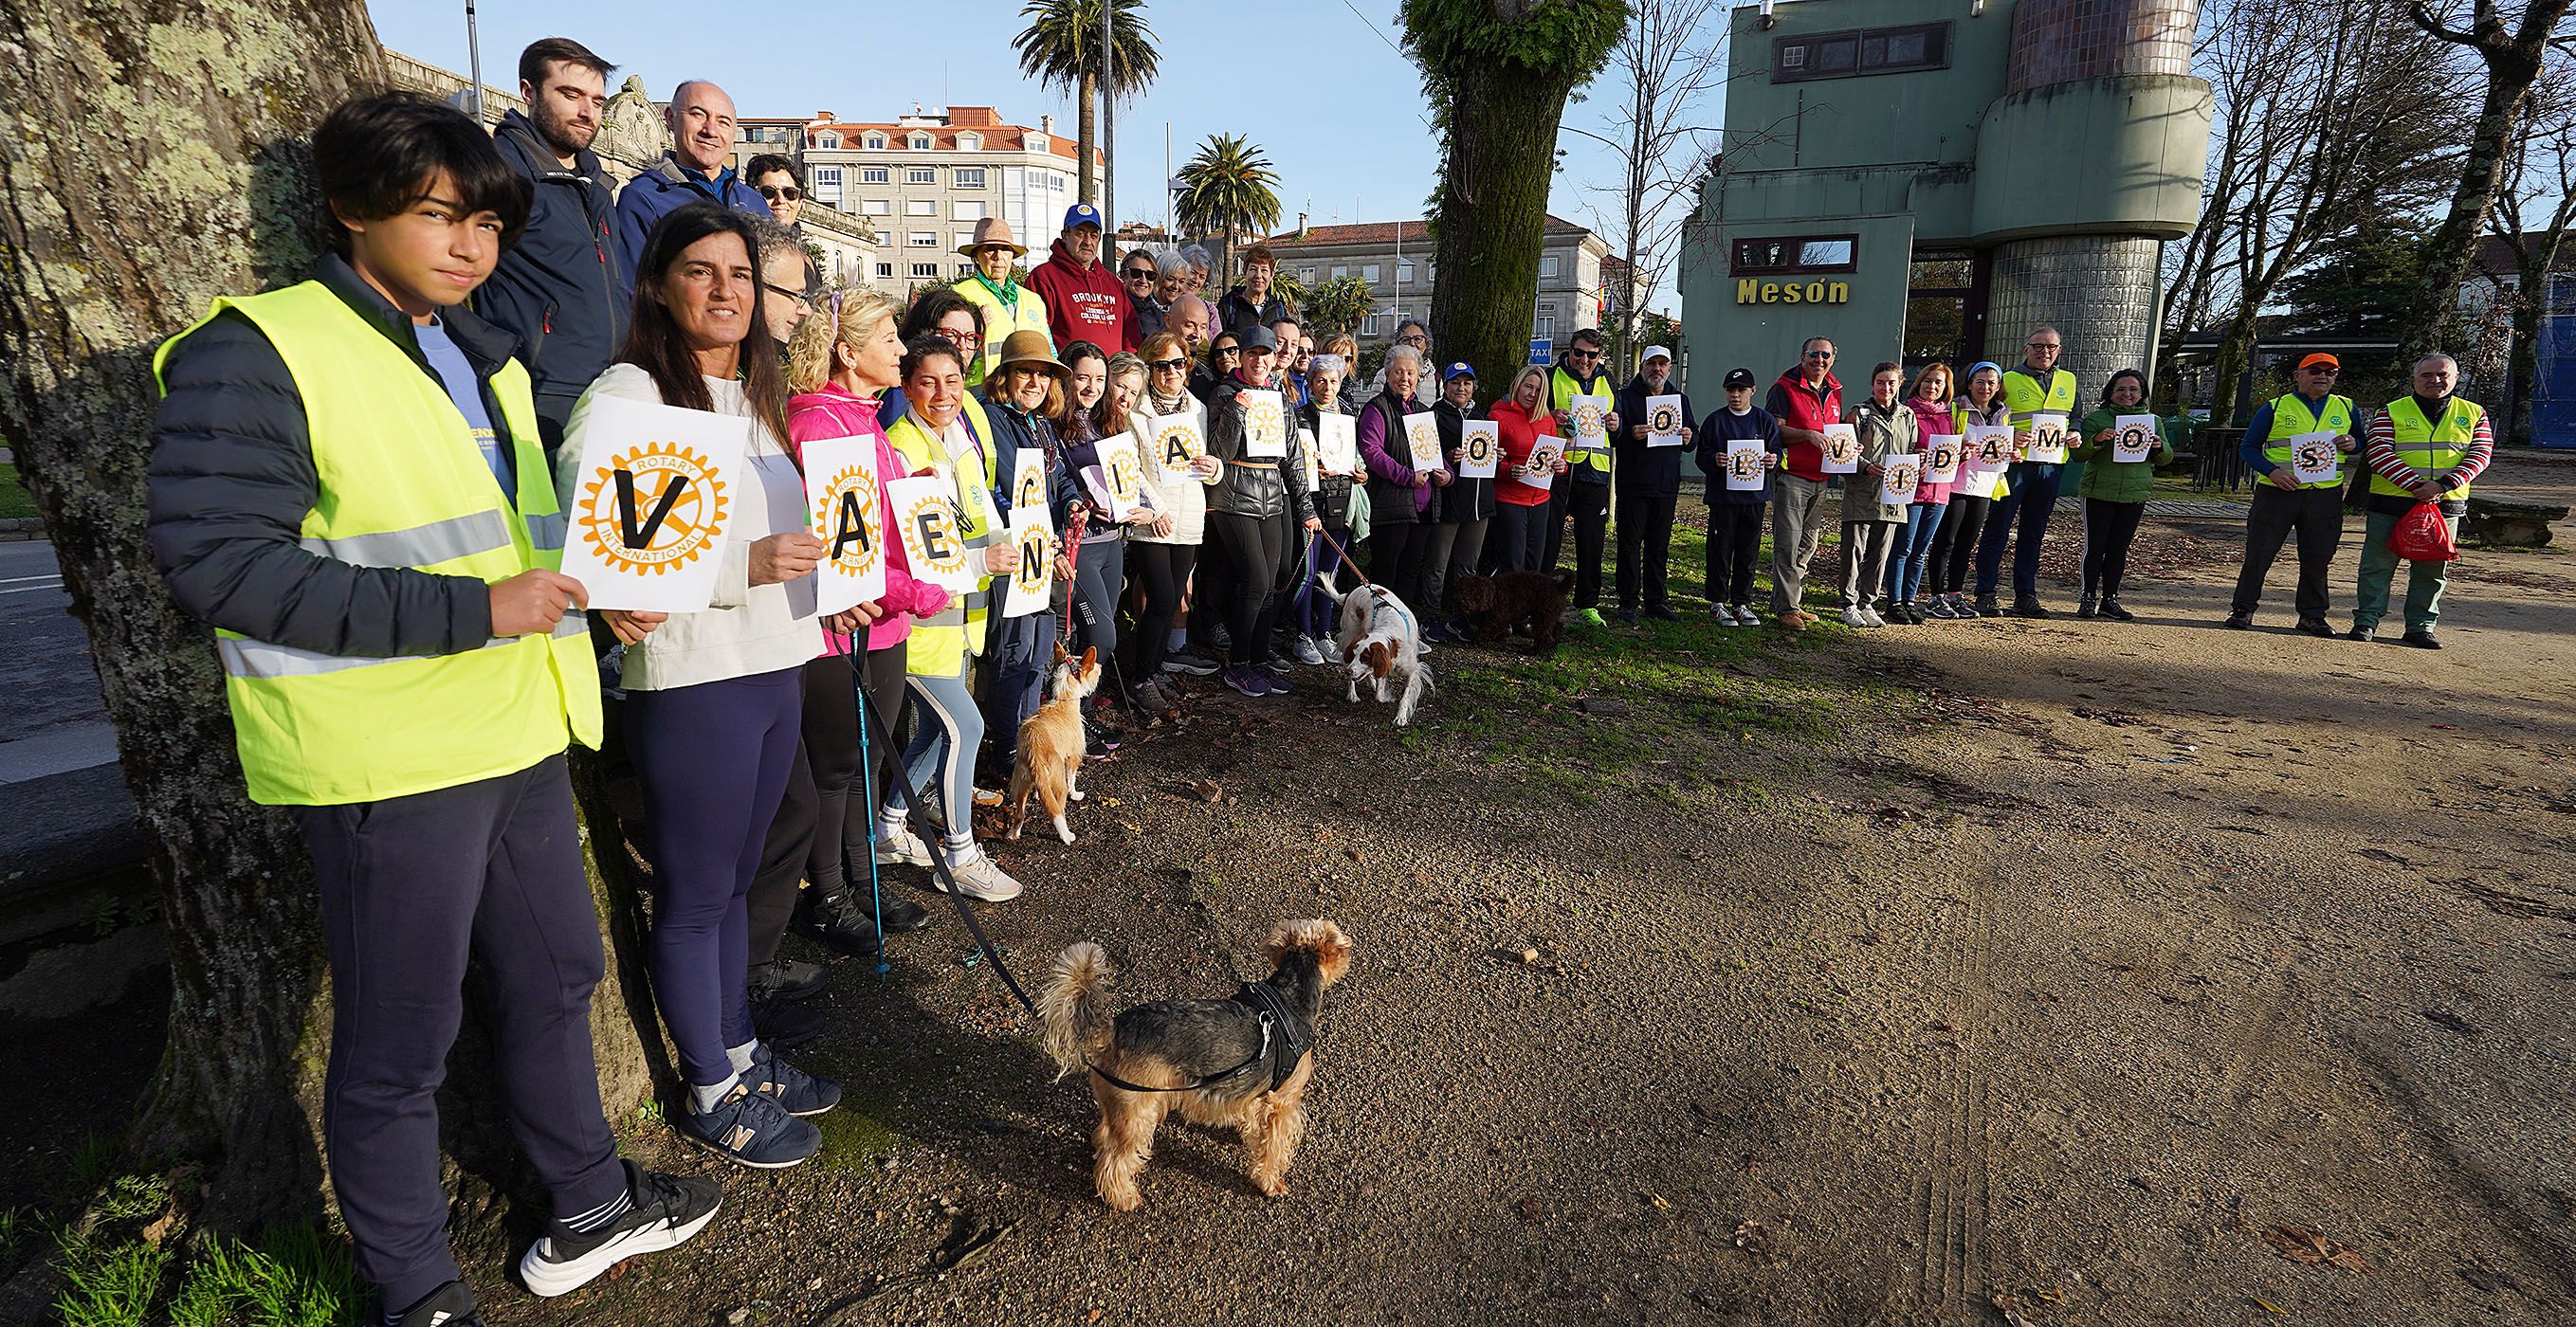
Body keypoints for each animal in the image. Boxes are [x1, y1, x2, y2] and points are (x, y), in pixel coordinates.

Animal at [1004, 646, 1097, 845]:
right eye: (1093, 667)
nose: (1100, 666)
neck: (1063, 699)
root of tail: (1034, 752)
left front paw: (1038, 795)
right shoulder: (1072, 757)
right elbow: (1072, 780)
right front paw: (1076, 795)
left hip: (1020, 784)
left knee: (1020, 814)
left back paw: (1014, 833)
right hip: (1058, 782)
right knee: (1059, 810)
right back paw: (1066, 835)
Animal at [1046, 922, 1370, 1216]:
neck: (1289, 998)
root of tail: (1112, 1030)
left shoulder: (1253, 1094)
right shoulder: (1282, 1103)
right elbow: (1273, 1148)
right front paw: (1269, 1183)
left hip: (1122, 1104)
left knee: (1103, 1136)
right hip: (1139, 1112)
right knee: (1114, 1161)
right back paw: (1124, 1199)